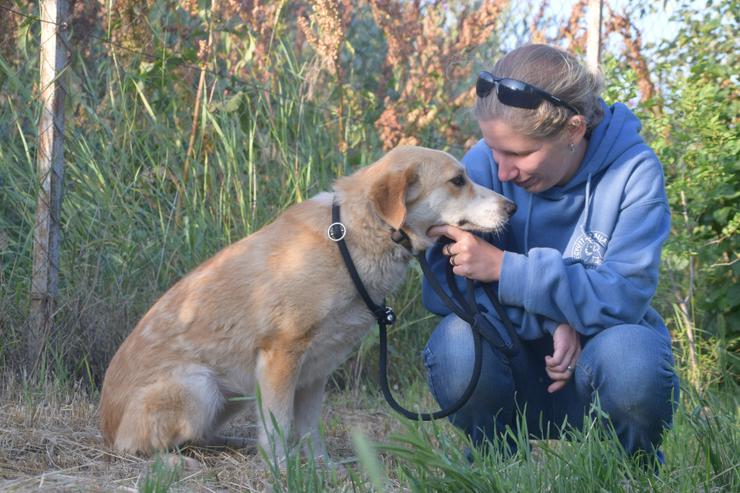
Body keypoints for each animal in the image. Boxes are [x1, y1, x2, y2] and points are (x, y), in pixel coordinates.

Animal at [98, 144, 516, 460]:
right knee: (140, 447)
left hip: (232, 393)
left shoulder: (317, 369)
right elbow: (279, 427)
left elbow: (309, 429)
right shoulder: (281, 356)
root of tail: (105, 427)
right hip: (200, 388)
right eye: (458, 180)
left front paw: (321, 467)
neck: (354, 238)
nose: (511, 207)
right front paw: (282, 470)